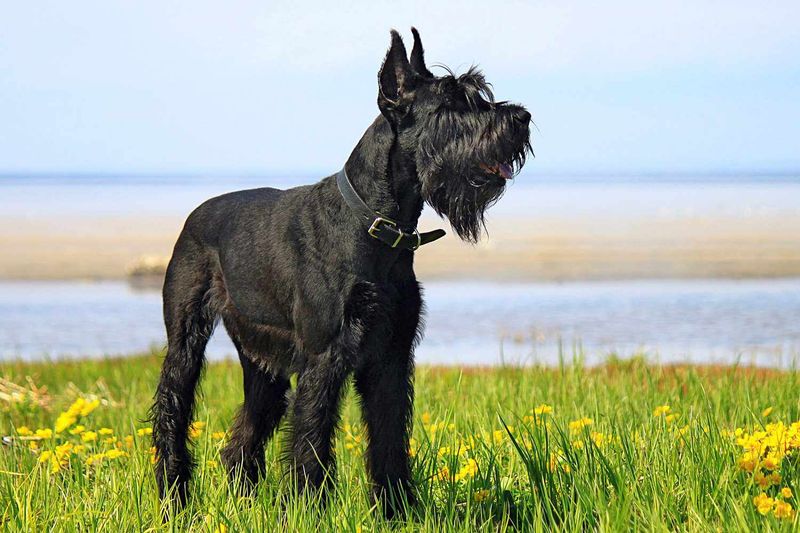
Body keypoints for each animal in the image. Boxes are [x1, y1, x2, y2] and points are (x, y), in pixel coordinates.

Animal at [152, 28, 532, 516]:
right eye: (451, 102)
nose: (522, 117)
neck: (377, 226)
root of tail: (195, 214)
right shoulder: (325, 356)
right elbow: (313, 436)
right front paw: (310, 506)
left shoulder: (391, 357)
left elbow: (389, 436)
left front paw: (397, 510)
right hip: (185, 340)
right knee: (172, 411)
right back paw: (173, 497)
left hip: (263, 363)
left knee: (244, 435)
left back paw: (244, 501)